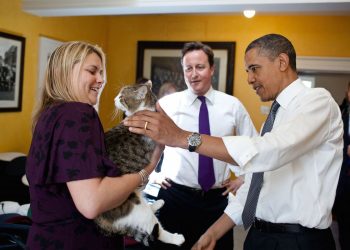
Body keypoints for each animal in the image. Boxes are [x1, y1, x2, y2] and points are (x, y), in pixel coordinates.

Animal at [93, 80, 186, 246]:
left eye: (122, 97)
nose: (114, 99)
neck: (145, 110)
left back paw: (158, 203)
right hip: (136, 208)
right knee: (155, 229)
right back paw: (177, 238)